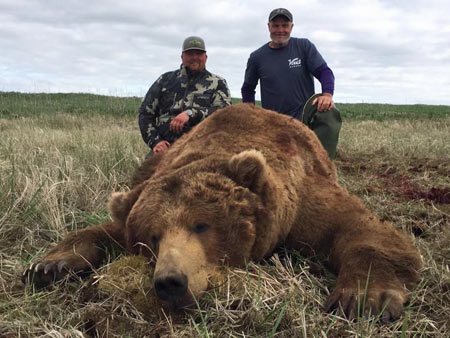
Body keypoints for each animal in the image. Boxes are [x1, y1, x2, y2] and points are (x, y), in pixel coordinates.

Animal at [22, 103, 422, 322]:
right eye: (153, 236)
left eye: (201, 225)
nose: (170, 281)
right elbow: (102, 230)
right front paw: (48, 266)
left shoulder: (302, 196)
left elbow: (362, 229)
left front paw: (363, 299)